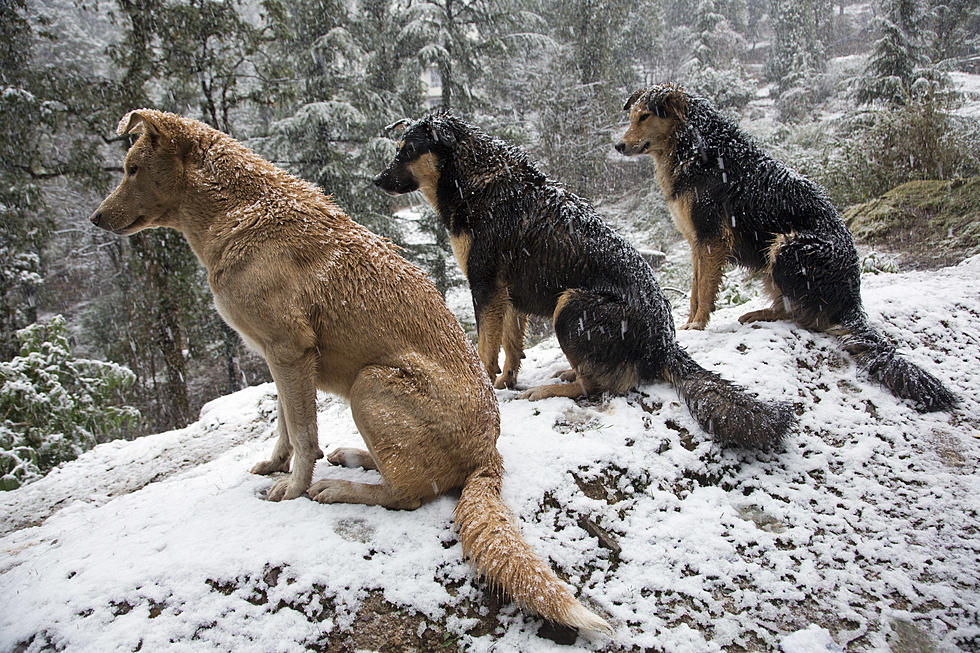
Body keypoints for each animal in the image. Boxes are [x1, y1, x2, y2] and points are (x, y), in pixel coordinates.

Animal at [90, 109, 612, 636]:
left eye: (132, 168)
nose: (95, 219)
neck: (241, 212)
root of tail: (489, 456)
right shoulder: (276, 359)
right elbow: (285, 425)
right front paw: (276, 464)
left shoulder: (290, 351)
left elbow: (303, 435)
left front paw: (294, 487)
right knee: (403, 470)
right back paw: (355, 457)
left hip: (370, 382)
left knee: (408, 493)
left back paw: (338, 487)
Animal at [372, 112, 792, 448]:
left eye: (406, 151)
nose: (376, 179)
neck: (472, 180)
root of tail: (662, 342)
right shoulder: (506, 296)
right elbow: (510, 346)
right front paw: (505, 382)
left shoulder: (486, 285)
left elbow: (485, 348)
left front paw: (490, 386)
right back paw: (564, 372)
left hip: (571, 305)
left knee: (598, 387)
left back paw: (547, 389)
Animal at [620, 80, 956, 408]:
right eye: (632, 117)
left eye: (644, 117)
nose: (618, 146)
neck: (696, 148)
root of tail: (852, 297)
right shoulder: (696, 242)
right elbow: (693, 290)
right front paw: (690, 322)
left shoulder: (712, 239)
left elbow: (703, 290)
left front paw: (698, 325)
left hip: (788, 245)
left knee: (807, 317)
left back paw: (762, 314)